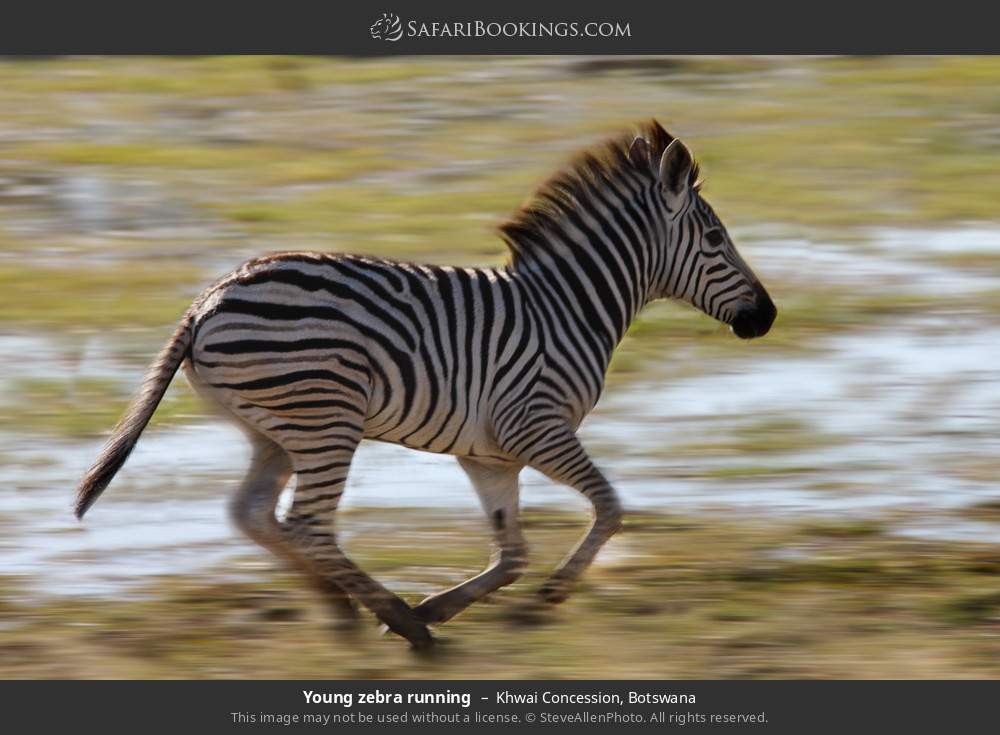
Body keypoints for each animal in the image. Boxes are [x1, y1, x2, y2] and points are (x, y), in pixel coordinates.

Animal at [76, 121, 780, 648]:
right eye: (716, 238)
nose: (767, 317)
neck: (568, 306)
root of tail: (207, 301)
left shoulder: (489, 454)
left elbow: (511, 554)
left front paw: (450, 605)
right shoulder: (537, 426)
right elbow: (609, 508)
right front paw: (543, 602)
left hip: (273, 429)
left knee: (253, 513)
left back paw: (346, 611)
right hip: (325, 419)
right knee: (306, 525)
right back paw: (399, 623)